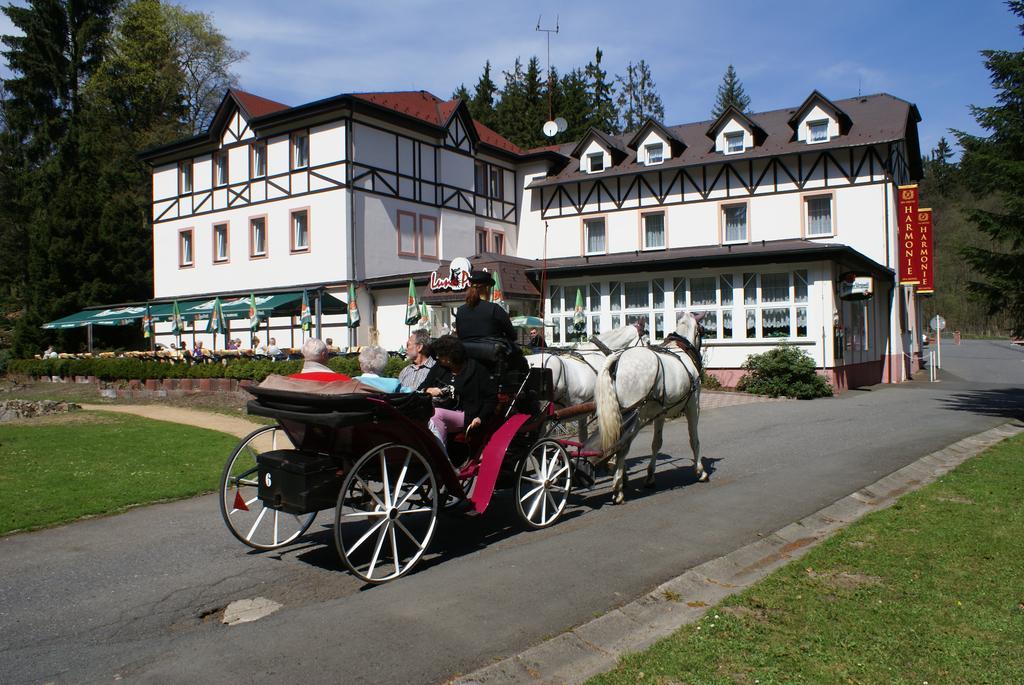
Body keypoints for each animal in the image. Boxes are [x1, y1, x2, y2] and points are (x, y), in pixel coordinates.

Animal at [598, 311, 708, 501]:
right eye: (701, 330)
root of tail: (617, 361)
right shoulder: (693, 406)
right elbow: (694, 439)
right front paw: (700, 471)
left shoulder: (661, 413)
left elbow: (656, 443)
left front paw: (650, 476)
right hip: (633, 417)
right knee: (622, 447)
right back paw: (618, 486)